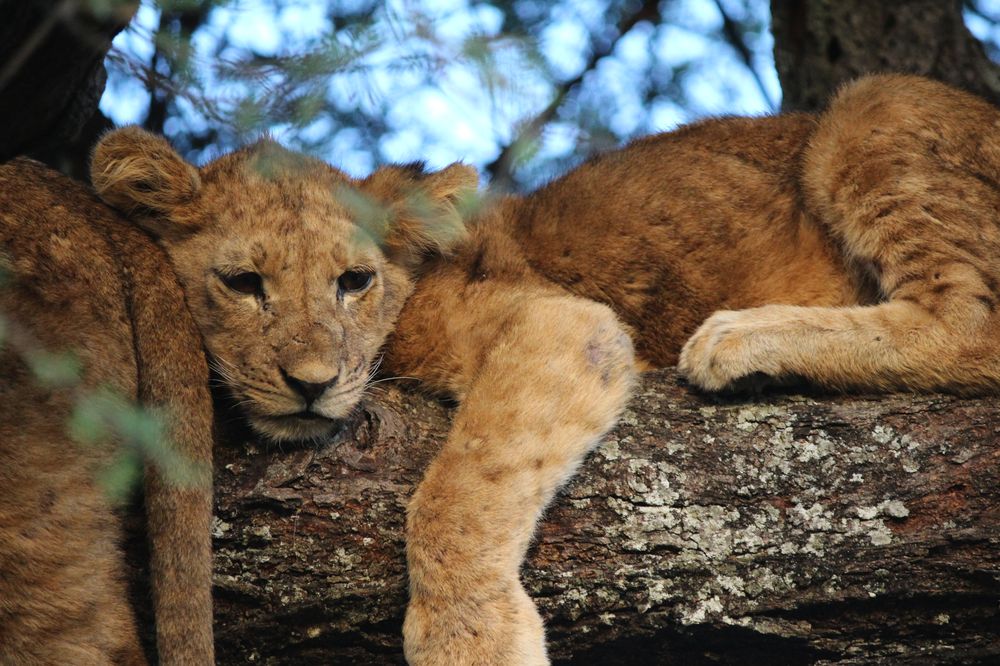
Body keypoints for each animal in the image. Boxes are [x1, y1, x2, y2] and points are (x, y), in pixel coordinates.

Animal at [85, 73, 1000, 664]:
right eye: (243, 283)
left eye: (354, 282)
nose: (311, 383)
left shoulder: (562, 320)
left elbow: (457, 493)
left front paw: (471, 641)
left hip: (872, 107)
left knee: (971, 324)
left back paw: (741, 340)